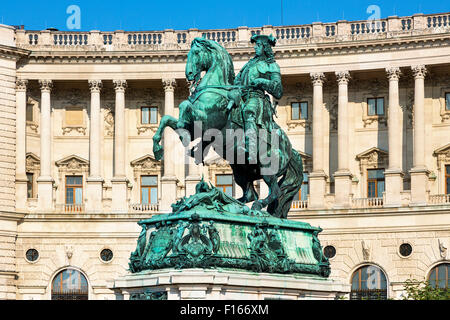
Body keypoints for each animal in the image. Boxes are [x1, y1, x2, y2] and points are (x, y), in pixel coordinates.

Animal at [151, 37, 302, 218]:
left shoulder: (206, 120)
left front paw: (185, 138)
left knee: (274, 191)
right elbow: (168, 118)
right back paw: (228, 202)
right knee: (250, 194)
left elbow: (185, 106)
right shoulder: (192, 123)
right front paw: (158, 148)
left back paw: (252, 206)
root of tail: (291, 150)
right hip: (240, 170)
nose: (189, 74)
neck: (214, 89)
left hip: (267, 166)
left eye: (196, 52)